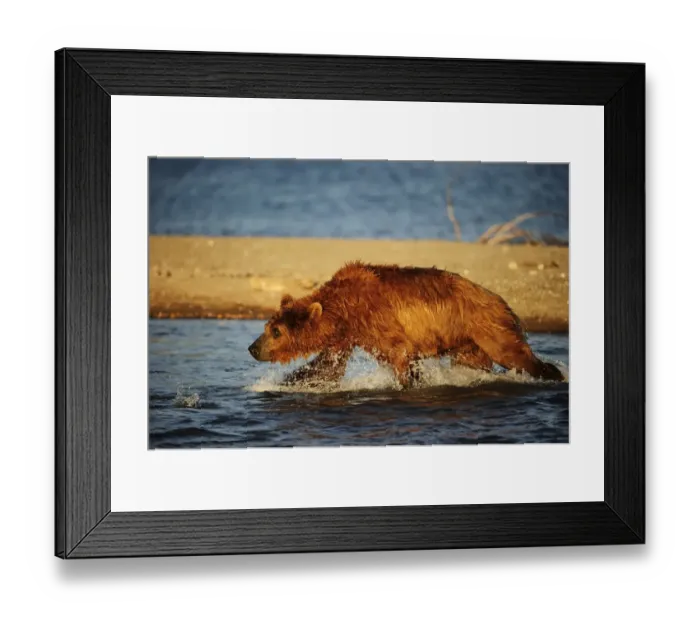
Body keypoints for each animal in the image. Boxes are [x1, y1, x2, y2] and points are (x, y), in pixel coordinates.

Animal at [247, 261, 564, 388]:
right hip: (466, 341)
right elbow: (327, 368)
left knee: (513, 353)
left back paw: (553, 374)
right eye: (267, 327)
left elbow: (399, 353)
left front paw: (409, 383)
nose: (252, 348)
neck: (345, 310)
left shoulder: (378, 318)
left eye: (276, 331)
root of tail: (500, 299)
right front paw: (281, 384)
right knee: (472, 363)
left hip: (486, 325)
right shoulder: (347, 336)